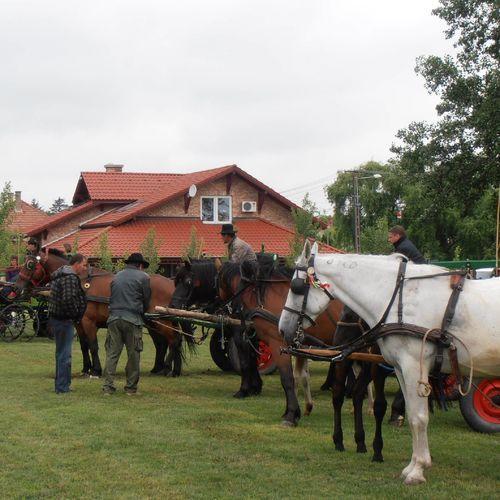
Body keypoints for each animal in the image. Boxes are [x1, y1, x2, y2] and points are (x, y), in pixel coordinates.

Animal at [15, 248, 191, 376]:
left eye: (30, 265)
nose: (16, 288)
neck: (81, 280)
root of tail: (171, 283)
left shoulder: (88, 322)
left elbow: (93, 346)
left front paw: (96, 370)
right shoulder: (79, 323)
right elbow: (84, 346)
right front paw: (86, 368)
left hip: (162, 321)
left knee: (174, 340)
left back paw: (167, 368)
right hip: (155, 322)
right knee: (165, 343)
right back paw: (167, 369)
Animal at [278, 242, 500, 484]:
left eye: (295, 287)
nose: (282, 328)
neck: (399, 299)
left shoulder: (414, 366)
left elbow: (419, 418)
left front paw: (417, 471)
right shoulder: (401, 368)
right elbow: (411, 415)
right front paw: (413, 465)